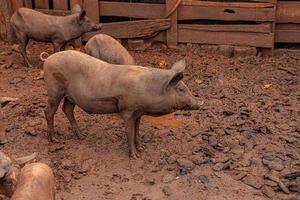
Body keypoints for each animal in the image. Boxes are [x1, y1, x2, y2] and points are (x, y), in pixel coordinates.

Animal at [43, 50, 200, 159]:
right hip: (55, 90)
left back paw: (82, 136)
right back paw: (55, 139)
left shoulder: (138, 112)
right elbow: (129, 131)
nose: (199, 103)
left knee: (67, 109)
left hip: (70, 96)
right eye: (181, 89)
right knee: (49, 111)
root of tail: (47, 59)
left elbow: (137, 130)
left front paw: (142, 148)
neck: (149, 87)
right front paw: (135, 156)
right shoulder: (127, 110)